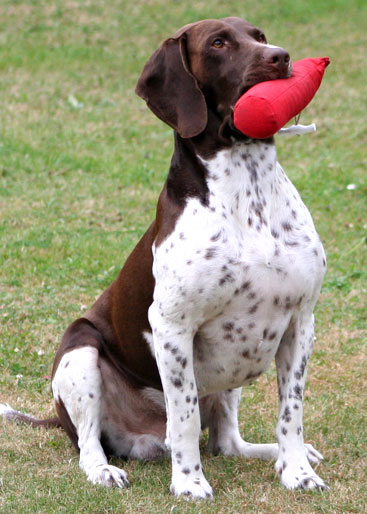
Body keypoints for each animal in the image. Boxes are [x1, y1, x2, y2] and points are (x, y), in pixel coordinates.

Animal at [0, 17, 328, 496]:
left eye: (260, 35)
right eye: (218, 43)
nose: (281, 57)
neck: (248, 189)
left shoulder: (300, 321)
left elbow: (292, 412)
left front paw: (298, 471)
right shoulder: (172, 326)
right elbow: (186, 417)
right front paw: (189, 483)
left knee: (228, 442)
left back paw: (275, 453)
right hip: (80, 353)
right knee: (91, 443)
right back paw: (104, 470)